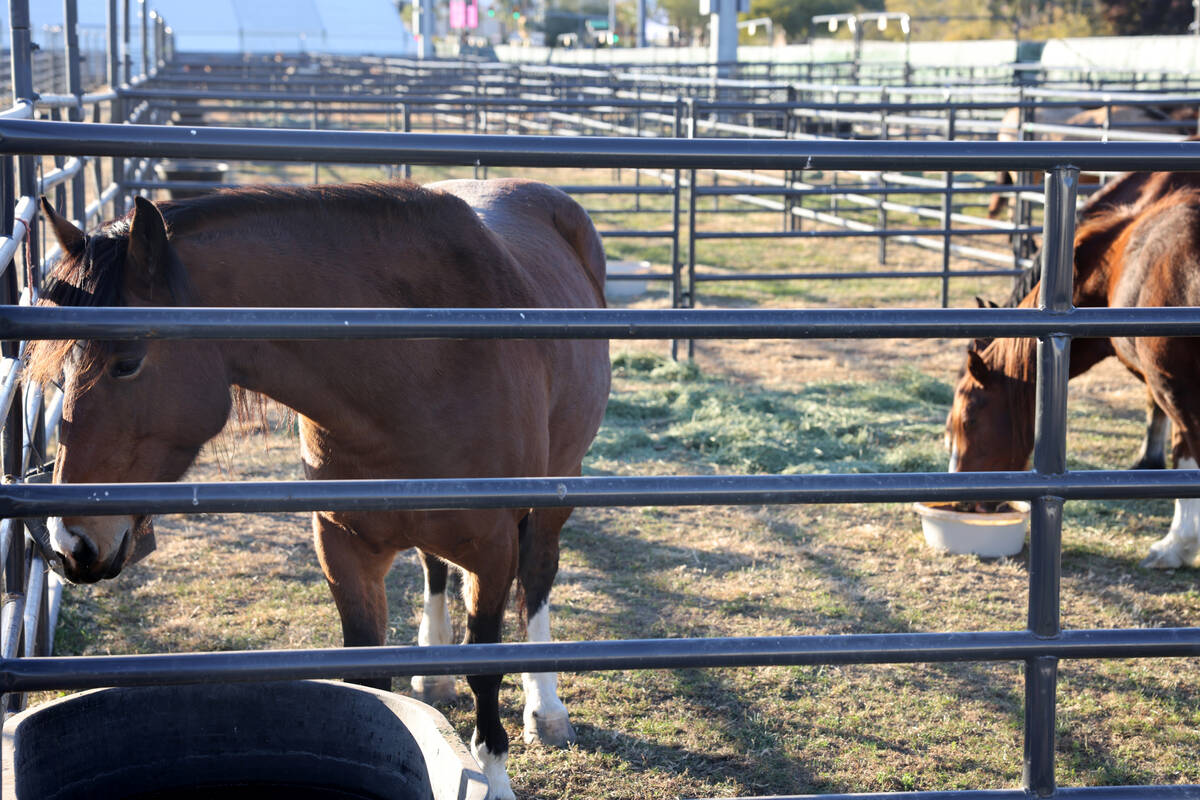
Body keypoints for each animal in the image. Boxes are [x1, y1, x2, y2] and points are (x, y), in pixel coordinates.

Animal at [28, 181, 614, 800]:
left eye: (127, 362)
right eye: (60, 373)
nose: (71, 544)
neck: (420, 364)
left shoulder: (492, 550)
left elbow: (487, 665)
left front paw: (495, 778)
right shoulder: (343, 544)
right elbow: (366, 676)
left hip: (555, 493)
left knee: (538, 577)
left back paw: (545, 709)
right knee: (434, 566)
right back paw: (433, 675)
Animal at [950, 185, 1200, 568]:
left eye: (969, 419)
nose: (960, 501)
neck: (1130, 260)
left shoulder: (1174, 385)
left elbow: (1185, 453)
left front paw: (1176, 546)